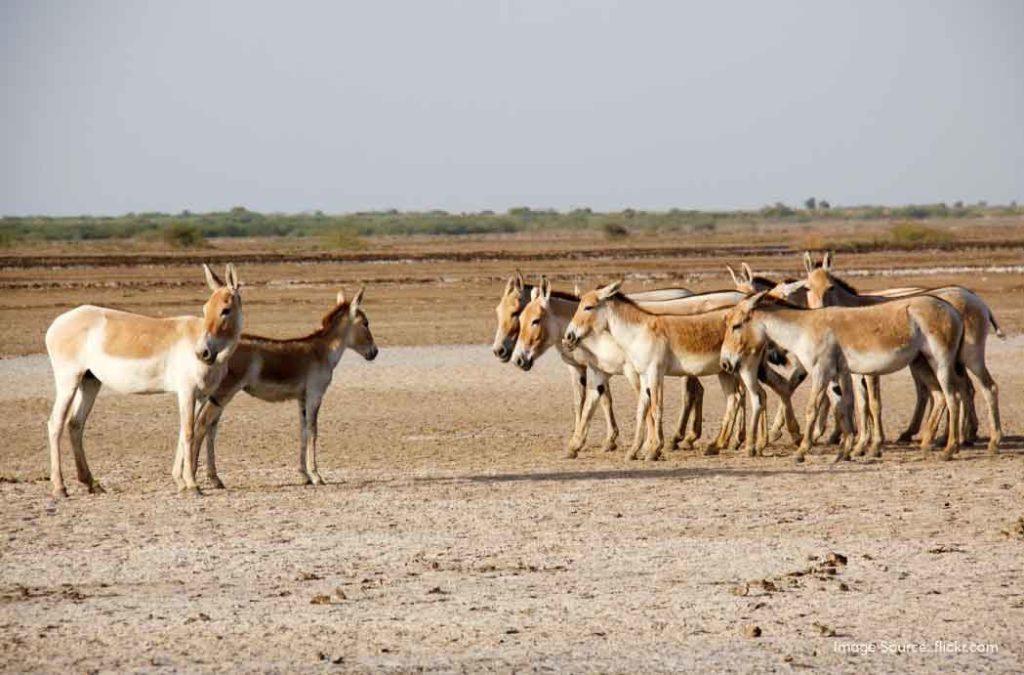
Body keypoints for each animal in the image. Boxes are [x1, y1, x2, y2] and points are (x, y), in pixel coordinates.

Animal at [46, 264, 243, 495]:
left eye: (225, 310)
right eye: (205, 309)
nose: (202, 353)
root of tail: (57, 323)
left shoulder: (201, 396)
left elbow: (186, 432)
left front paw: (180, 482)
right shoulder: (187, 392)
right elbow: (188, 433)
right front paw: (192, 485)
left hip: (90, 382)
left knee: (75, 423)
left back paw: (91, 483)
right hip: (68, 380)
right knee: (56, 423)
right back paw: (60, 487)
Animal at [192, 288, 376, 487]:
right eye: (365, 323)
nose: (374, 352)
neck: (323, 351)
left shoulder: (302, 398)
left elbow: (303, 431)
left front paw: (304, 475)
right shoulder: (315, 395)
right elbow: (313, 431)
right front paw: (316, 475)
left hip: (218, 395)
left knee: (210, 427)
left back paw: (214, 478)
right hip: (224, 392)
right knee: (202, 424)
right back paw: (193, 476)